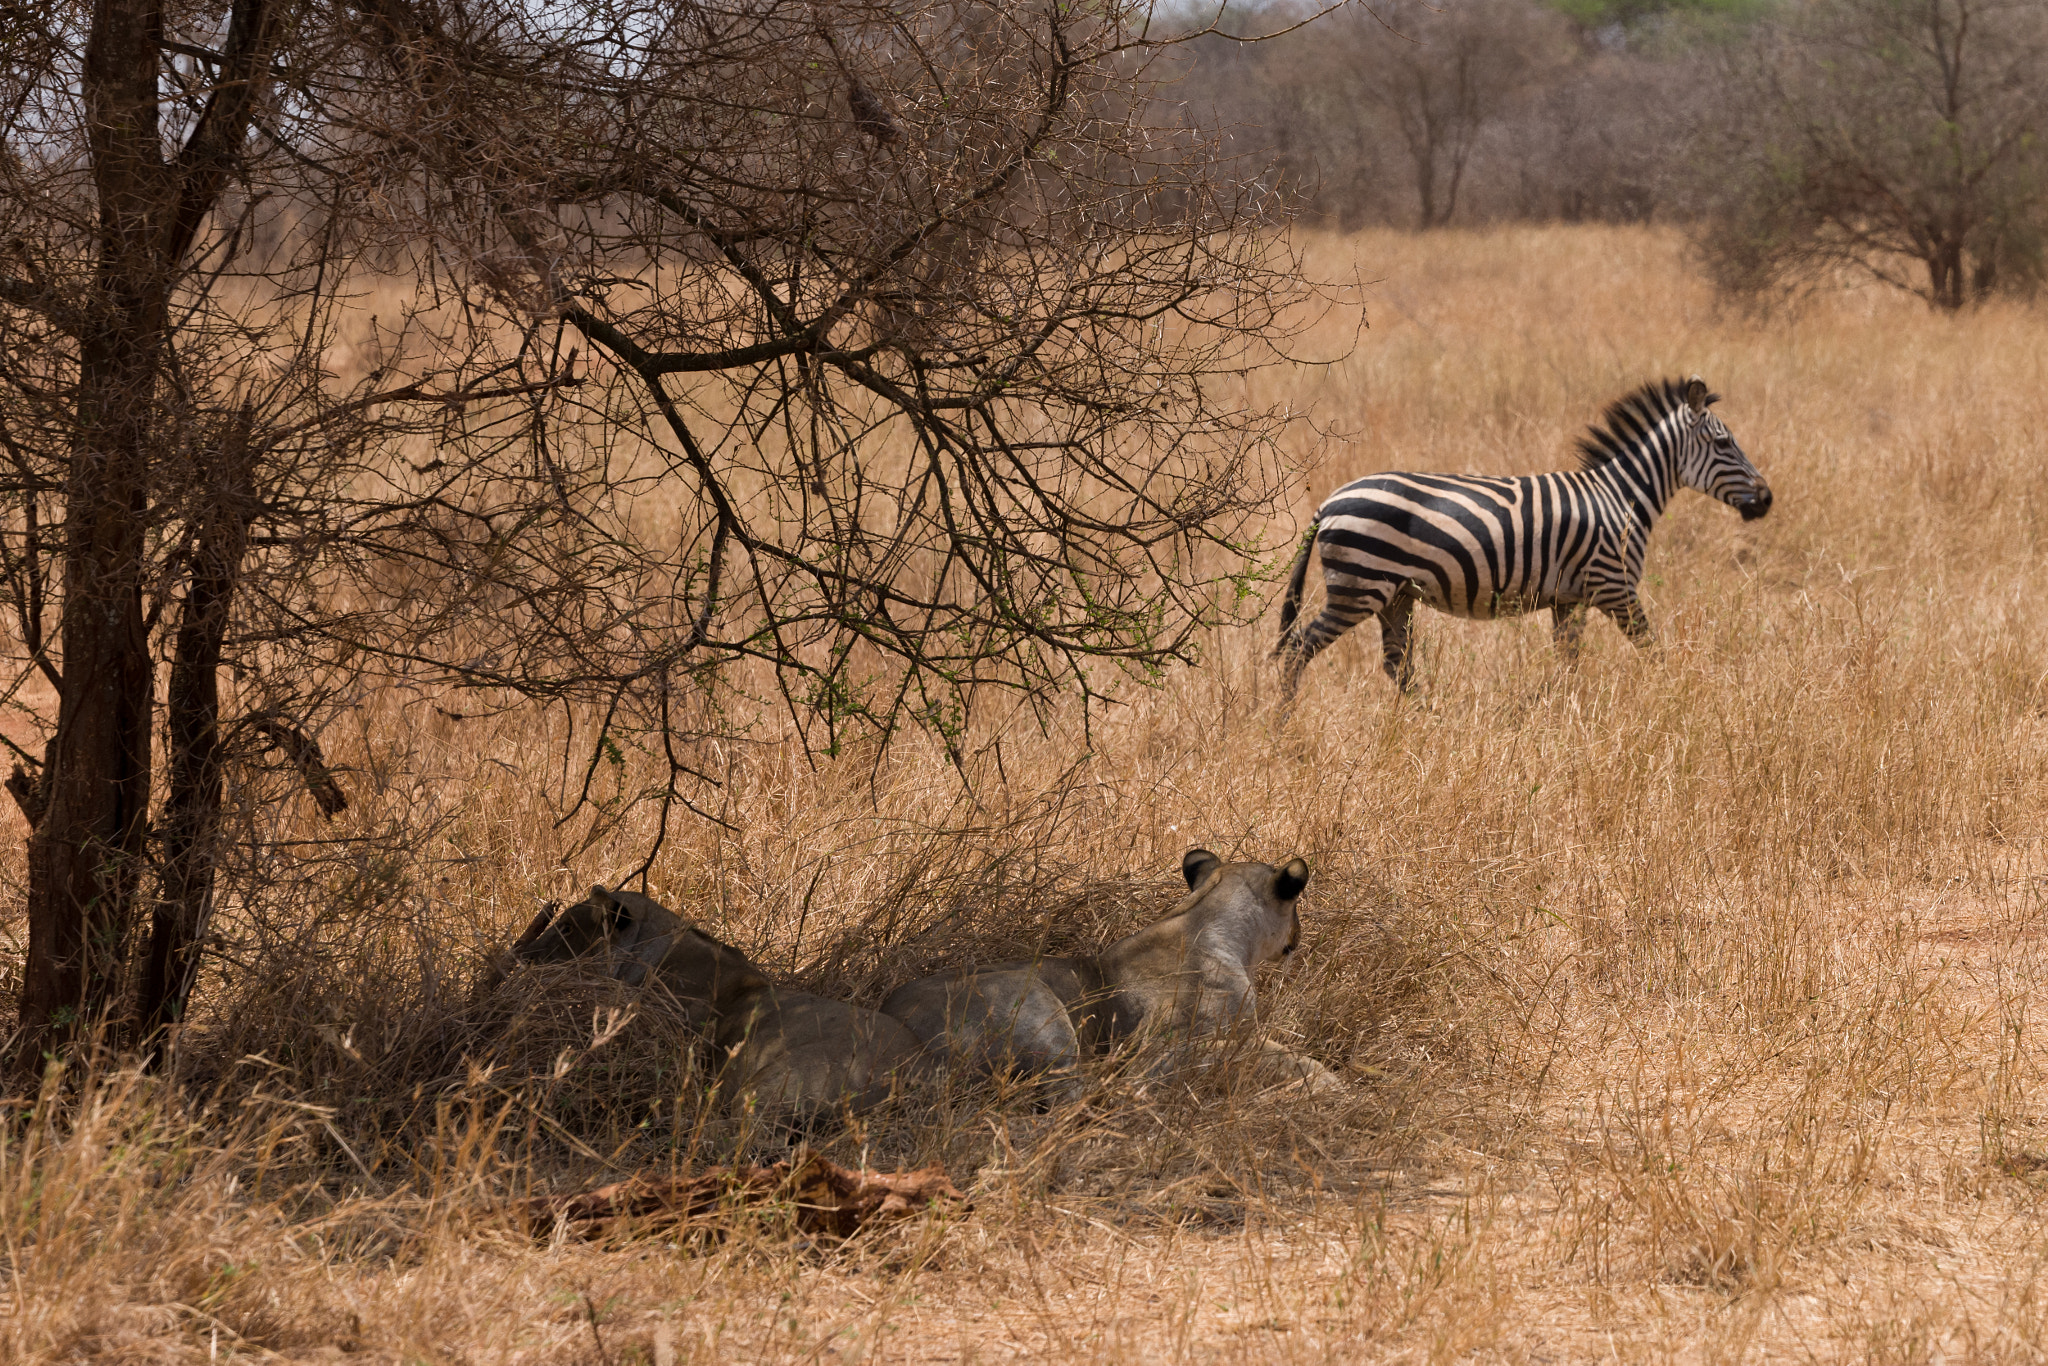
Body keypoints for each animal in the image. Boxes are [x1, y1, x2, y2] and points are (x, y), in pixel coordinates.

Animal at [880, 849, 1343, 1101]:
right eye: (1297, 908)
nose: (1298, 937)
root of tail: (895, 1025)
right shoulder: (1161, 1046)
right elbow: (1270, 1052)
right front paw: (1327, 1082)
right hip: (1031, 999)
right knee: (1081, 1091)